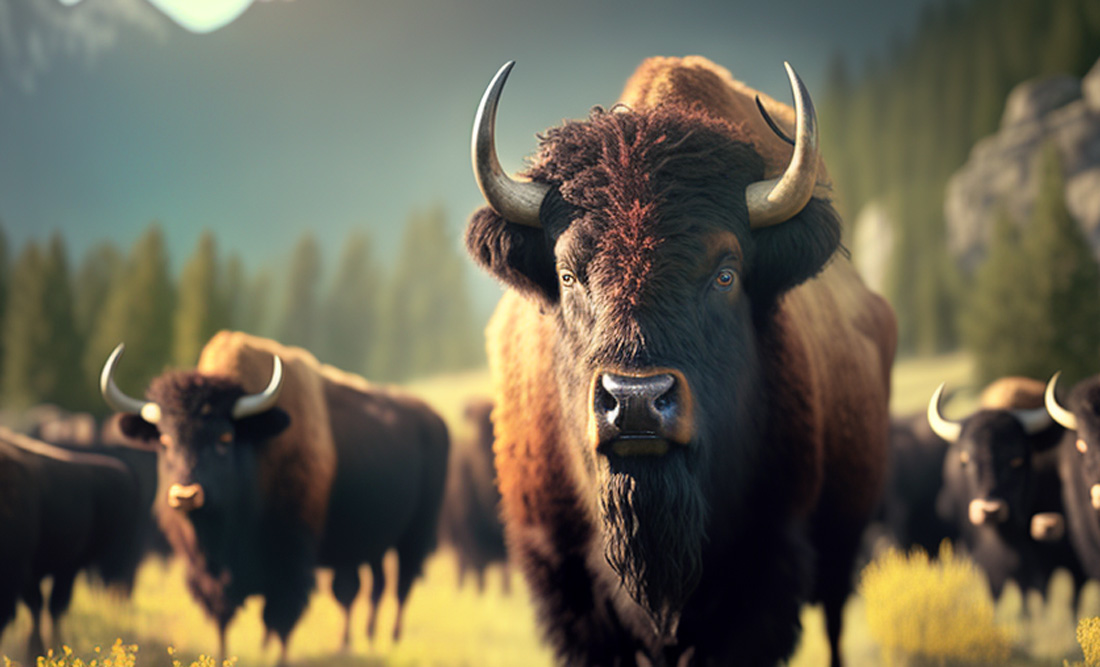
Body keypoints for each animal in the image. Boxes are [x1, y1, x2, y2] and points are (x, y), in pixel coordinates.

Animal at [101, 331, 449, 662]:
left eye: (224, 438)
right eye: (165, 439)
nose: (186, 495)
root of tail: (434, 418)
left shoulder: (290, 563)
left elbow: (281, 620)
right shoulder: (209, 574)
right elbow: (224, 620)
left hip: (415, 536)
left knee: (399, 587)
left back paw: (391, 640)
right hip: (369, 545)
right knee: (364, 590)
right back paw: (355, 642)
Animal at [464, 56, 896, 666]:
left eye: (726, 274)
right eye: (568, 274)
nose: (635, 402)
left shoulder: (763, 574)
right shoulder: (565, 584)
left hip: (843, 541)